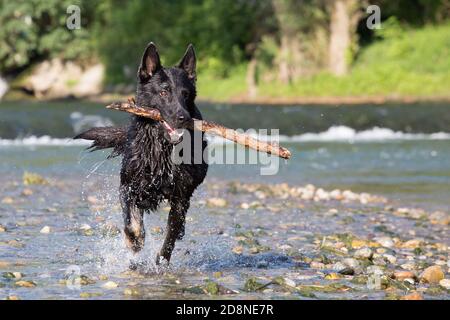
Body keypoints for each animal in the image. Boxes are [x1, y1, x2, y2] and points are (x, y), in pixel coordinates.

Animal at [74, 42, 208, 264]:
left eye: (186, 94)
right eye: (163, 92)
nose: (184, 118)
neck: (162, 148)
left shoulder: (180, 196)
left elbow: (171, 232)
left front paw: (161, 259)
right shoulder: (128, 187)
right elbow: (132, 222)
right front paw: (135, 241)